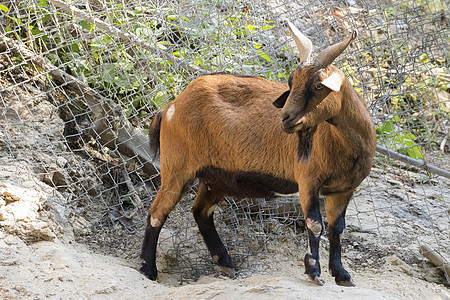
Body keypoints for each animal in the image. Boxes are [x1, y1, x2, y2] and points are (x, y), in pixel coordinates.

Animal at [141, 22, 376, 288]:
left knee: (201, 211)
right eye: (291, 81)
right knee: (157, 212)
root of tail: (171, 106)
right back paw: (148, 270)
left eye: (318, 86)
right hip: (178, 167)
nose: (286, 118)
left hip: (216, 178)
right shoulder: (308, 182)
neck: (345, 146)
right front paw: (314, 272)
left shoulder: (343, 189)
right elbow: (316, 225)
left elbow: (338, 228)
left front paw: (342, 274)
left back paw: (225, 263)